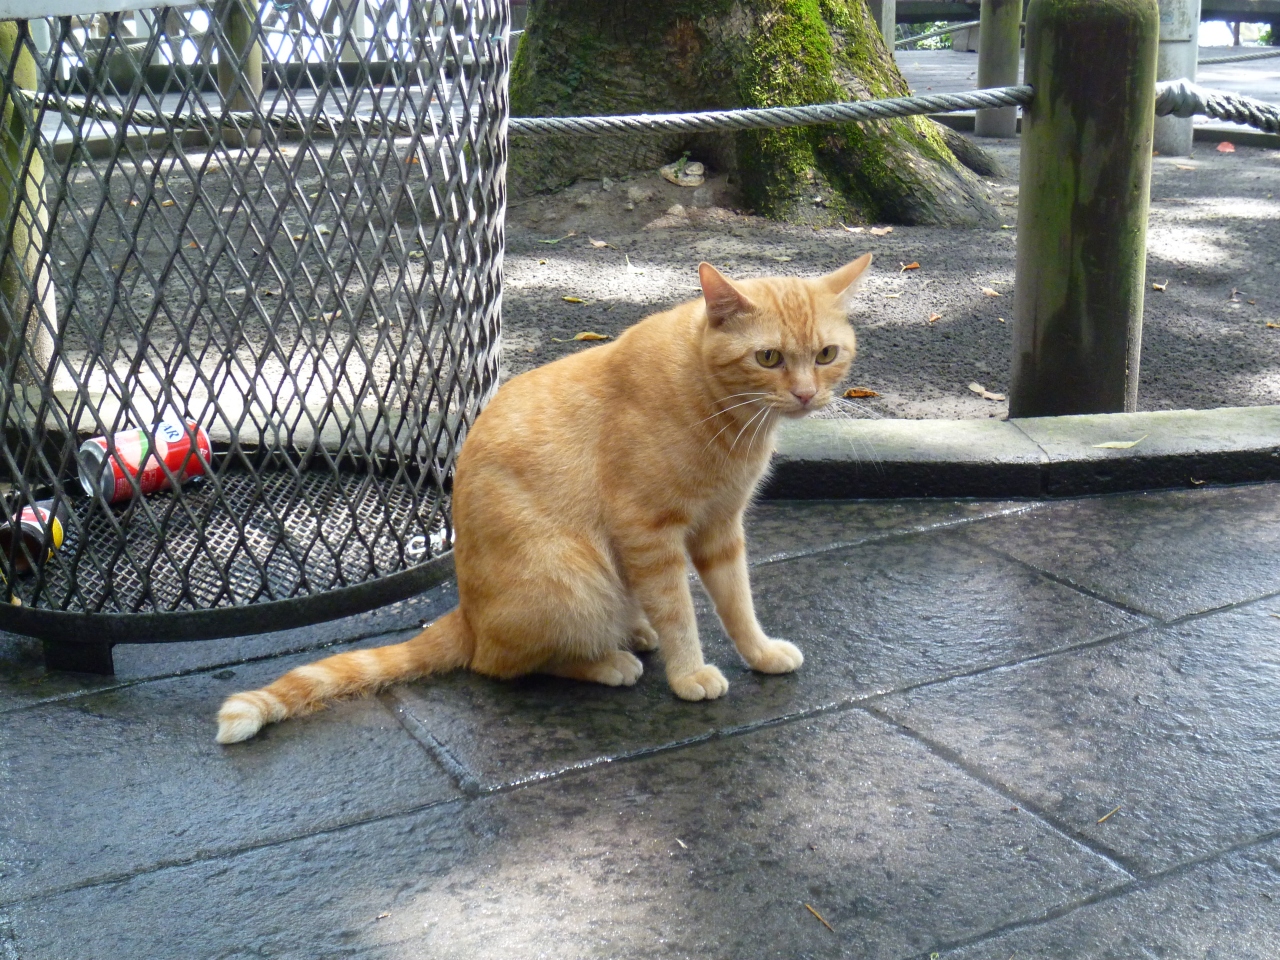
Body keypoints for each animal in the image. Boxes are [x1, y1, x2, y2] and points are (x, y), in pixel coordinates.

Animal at [217, 253, 870, 742]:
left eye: (826, 355)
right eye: (769, 357)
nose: (807, 395)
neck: (724, 414)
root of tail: (467, 614)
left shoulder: (720, 529)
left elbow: (737, 604)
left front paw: (758, 653)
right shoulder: (648, 533)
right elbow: (680, 612)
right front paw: (689, 674)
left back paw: (633, 633)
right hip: (572, 578)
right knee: (501, 664)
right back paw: (610, 661)